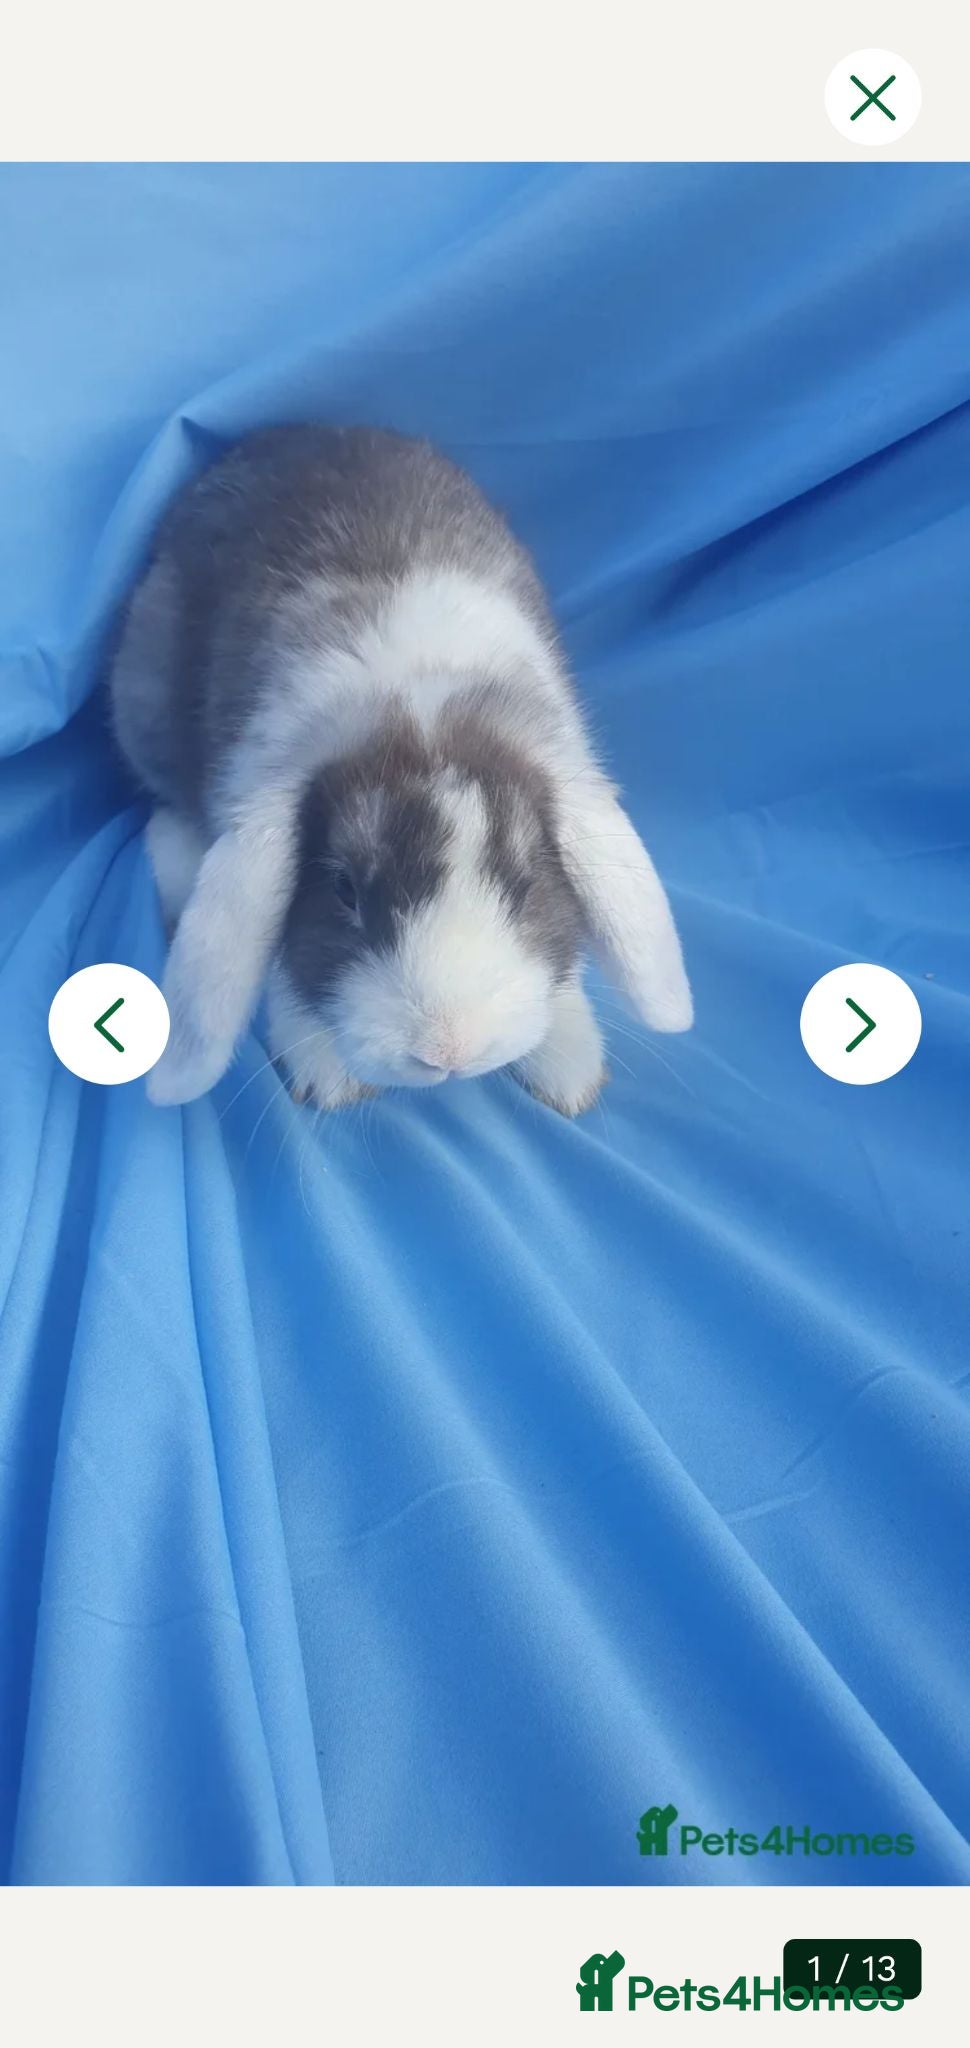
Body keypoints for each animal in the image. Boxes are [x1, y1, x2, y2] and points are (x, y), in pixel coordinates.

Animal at [110, 423, 692, 1114]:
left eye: (525, 886)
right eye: (345, 891)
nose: (449, 1052)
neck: (418, 706)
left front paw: (569, 1064)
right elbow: (276, 955)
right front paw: (325, 1071)